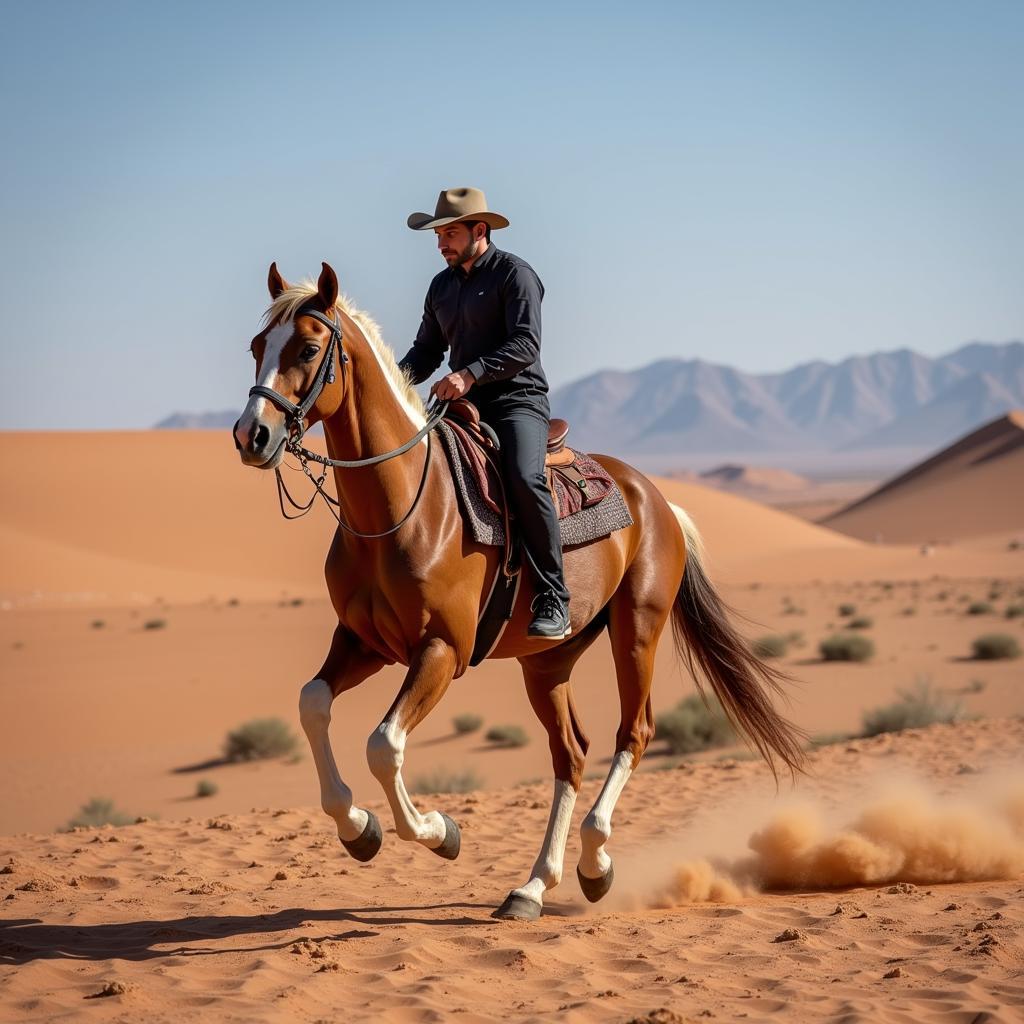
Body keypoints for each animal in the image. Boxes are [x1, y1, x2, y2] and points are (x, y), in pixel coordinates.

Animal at [234, 262, 806, 921]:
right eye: (257, 347)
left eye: (307, 349)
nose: (251, 435)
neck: (404, 507)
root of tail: (657, 500)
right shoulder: (364, 641)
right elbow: (313, 704)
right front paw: (359, 829)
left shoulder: (443, 650)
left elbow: (383, 743)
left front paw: (439, 832)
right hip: (547, 663)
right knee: (572, 753)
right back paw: (533, 886)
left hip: (637, 630)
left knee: (632, 734)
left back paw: (595, 864)